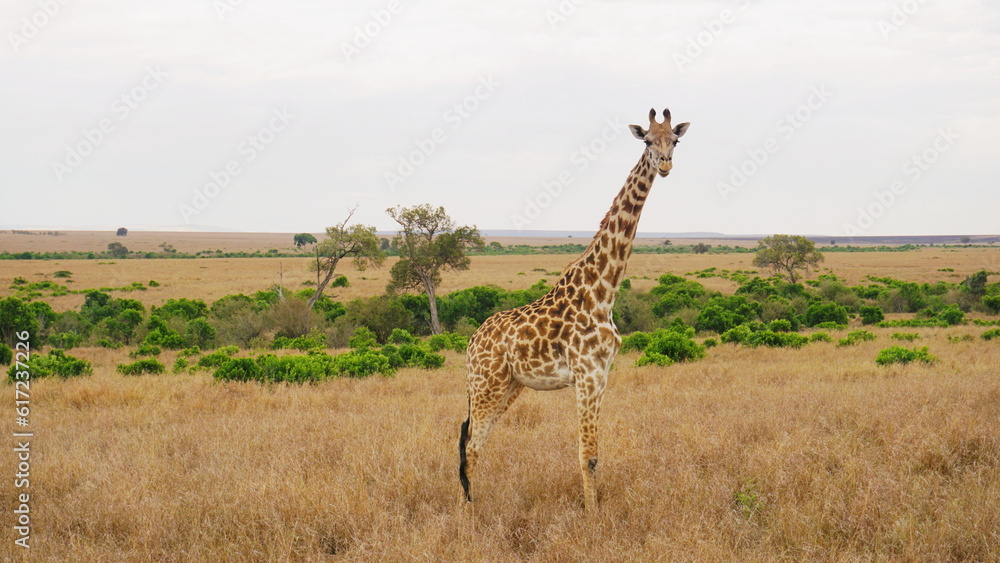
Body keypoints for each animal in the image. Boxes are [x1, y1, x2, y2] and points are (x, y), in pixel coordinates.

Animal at [459, 107, 690, 513]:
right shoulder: (587, 375)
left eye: (675, 141)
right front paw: (592, 516)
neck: (603, 291)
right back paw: (469, 513)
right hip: (486, 383)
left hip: (509, 385)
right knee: (470, 444)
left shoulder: (602, 376)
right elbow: (588, 454)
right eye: (647, 140)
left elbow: (595, 453)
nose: (664, 164)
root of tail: (471, 343)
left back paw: (476, 503)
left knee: (477, 440)